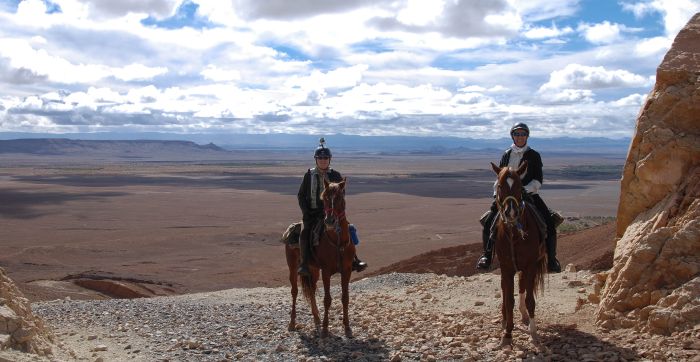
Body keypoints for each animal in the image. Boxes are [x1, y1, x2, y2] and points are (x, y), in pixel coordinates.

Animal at [296, 177, 356, 338]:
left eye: (340, 197)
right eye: (325, 198)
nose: (330, 221)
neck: (337, 242)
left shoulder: (347, 270)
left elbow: (345, 297)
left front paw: (347, 327)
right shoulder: (326, 272)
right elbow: (327, 299)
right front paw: (324, 329)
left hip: (314, 270)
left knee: (311, 289)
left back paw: (316, 318)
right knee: (302, 291)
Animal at [492, 161, 548, 348]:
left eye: (519, 186)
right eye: (500, 186)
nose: (511, 213)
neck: (514, 233)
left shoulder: (530, 265)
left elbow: (530, 299)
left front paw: (534, 333)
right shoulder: (506, 268)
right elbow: (509, 299)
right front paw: (507, 334)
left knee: (523, 287)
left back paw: (524, 316)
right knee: (506, 291)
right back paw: (504, 321)